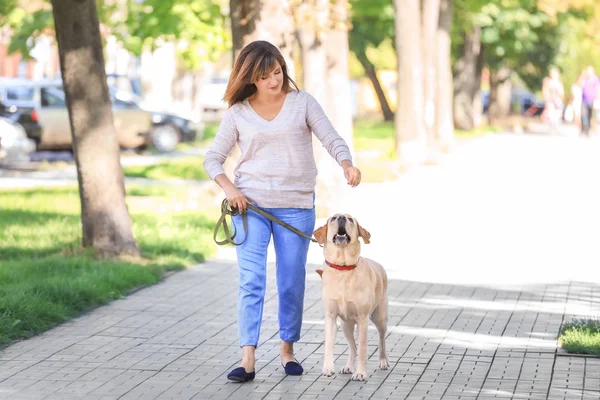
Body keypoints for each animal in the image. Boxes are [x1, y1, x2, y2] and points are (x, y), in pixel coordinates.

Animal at [312, 216, 392, 382]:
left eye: (350, 219)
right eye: (333, 218)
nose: (342, 217)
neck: (343, 269)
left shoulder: (362, 318)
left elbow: (363, 349)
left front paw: (360, 373)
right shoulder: (331, 317)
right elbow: (329, 345)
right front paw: (328, 369)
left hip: (380, 317)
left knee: (381, 339)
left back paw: (383, 361)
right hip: (345, 324)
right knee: (352, 346)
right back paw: (348, 366)